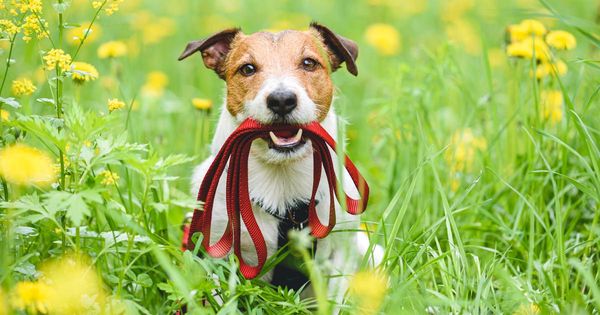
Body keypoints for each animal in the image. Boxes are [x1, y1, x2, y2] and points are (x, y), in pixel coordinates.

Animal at [180, 23, 382, 308]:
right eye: (248, 68)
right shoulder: (216, 254)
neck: (282, 178)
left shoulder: (339, 255)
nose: (282, 100)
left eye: (309, 63)